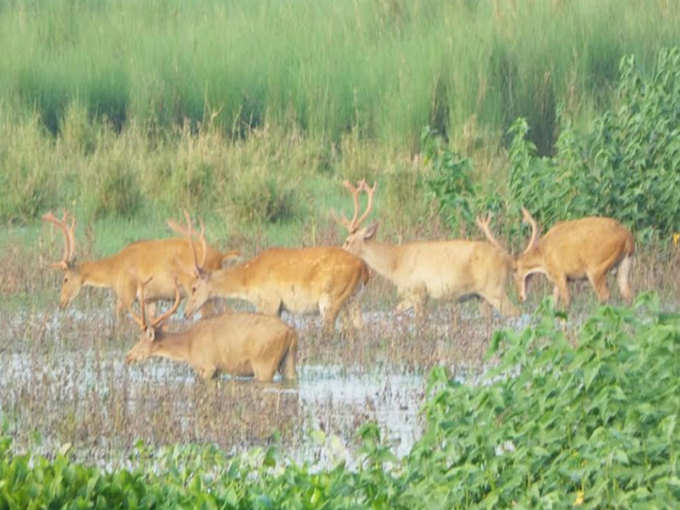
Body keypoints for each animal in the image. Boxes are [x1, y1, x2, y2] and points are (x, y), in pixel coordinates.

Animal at [41, 211, 239, 318]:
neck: (114, 268)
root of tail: (220, 256)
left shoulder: (126, 295)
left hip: (199, 291)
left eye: (65, 279)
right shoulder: (150, 299)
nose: (61, 303)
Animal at [126, 278, 296, 382]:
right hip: (288, 361)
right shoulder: (216, 370)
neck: (188, 347)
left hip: (264, 362)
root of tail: (291, 332)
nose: (128, 356)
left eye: (141, 340)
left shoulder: (208, 366)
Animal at [181, 222, 370, 334]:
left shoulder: (270, 303)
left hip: (332, 300)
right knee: (360, 327)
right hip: (354, 299)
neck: (249, 278)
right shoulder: (278, 308)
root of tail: (363, 268)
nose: (186, 313)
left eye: (194, 287)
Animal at [334, 179, 516, 322]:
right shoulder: (411, 295)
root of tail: (507, 258)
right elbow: (397, 311)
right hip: (481, 297)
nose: (339, 252)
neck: (395, 263)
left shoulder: (419, 290)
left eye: (347, 241)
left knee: (515, 312)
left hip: (494, 288)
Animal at [476, 207, 636, 306]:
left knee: (605, 296)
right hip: (625, 263)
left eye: (514, 272)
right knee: (628, 294)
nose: (520, 297)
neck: (543, 256)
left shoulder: (559, 274)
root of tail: (628, 237)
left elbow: (566, 302)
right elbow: (552, 303)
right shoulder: (555, 280)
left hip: (596, 268)